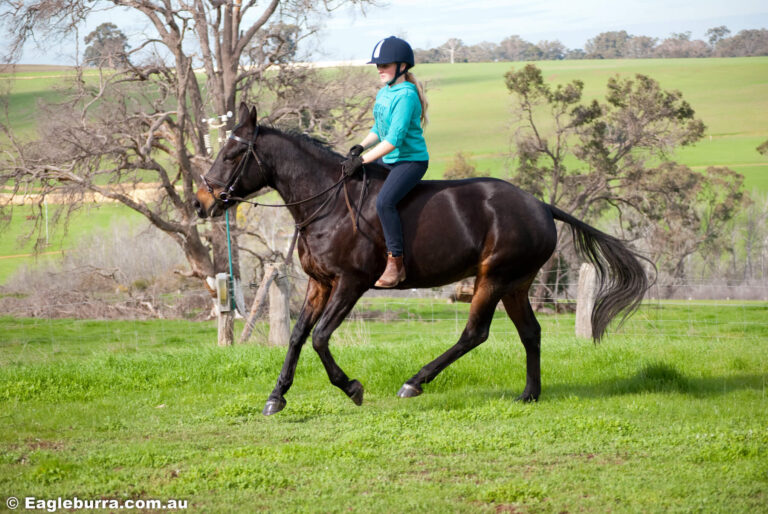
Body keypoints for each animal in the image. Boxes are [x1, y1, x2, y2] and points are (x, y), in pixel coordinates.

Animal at [194, 102, 648, 414]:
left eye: (232, 156)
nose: (201, 203)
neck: (328, 204)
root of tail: (539, 205)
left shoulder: (352, 283)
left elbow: (320, 336)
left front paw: (352, 388)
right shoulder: (320, 283)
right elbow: (297, 336)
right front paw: (276, 396)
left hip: (493, 278)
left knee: (474, 334)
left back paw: (414, 382)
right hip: (516, 283)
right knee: (530, 333)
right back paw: (529, 395)